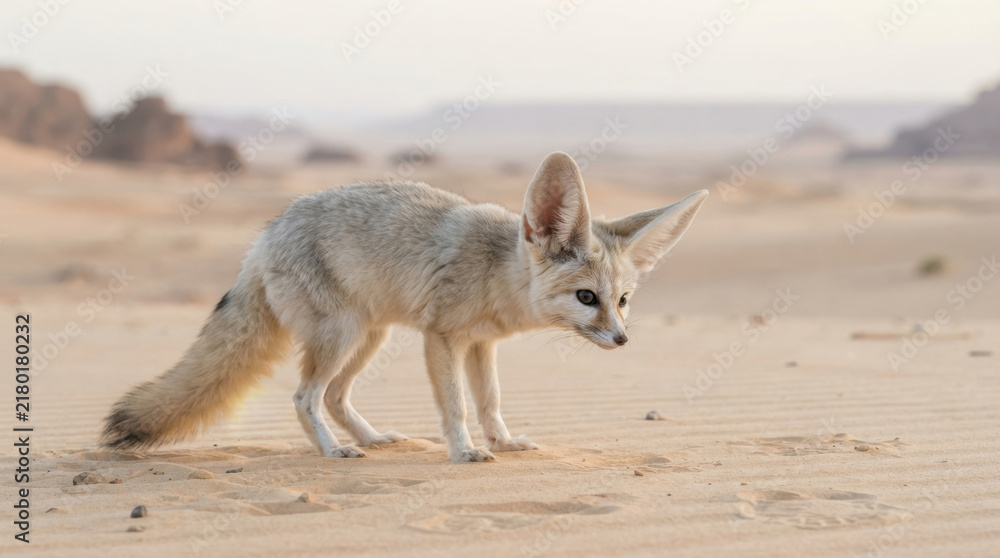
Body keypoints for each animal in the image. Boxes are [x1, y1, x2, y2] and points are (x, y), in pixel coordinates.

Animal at [101, 152, 708, 462]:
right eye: (587, 298)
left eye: (623, 301)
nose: (623, 339)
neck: (496, 271)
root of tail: (264, 236)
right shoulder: (442, 338)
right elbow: (457, 407)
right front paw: (465, 452)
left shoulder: (481, 345)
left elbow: (490, 402)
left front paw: (504, 442)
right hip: (343, 336)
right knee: (305, 397)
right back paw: (334, 452)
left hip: (370, 338)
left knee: (336, 397)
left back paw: (371, 440)